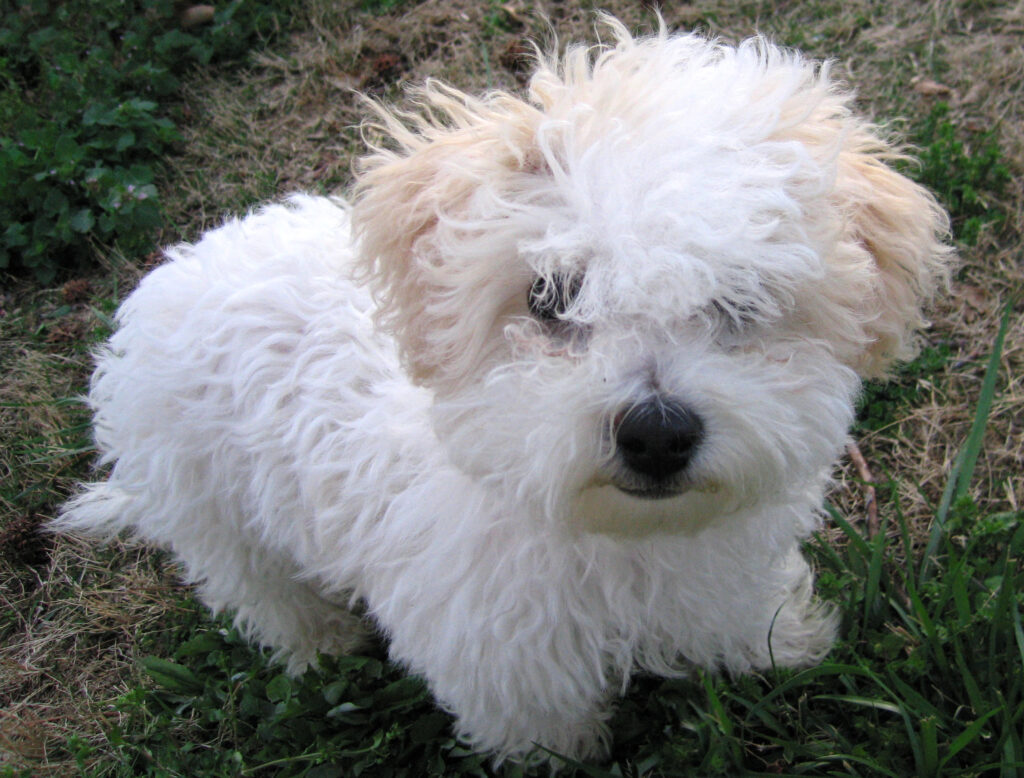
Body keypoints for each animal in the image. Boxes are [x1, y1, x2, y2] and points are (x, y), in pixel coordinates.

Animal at [58, 16, 950, 765]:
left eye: (740, 301)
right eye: (550, 296)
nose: (657, 433)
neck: (624, 541)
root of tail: (176, 274)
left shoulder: (723, 569)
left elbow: (743, 617)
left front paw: (786, 646)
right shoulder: (500, 654)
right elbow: (540, 723)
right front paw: (565, 757)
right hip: (215, 512)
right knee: (261, 589)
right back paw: (323, 642)